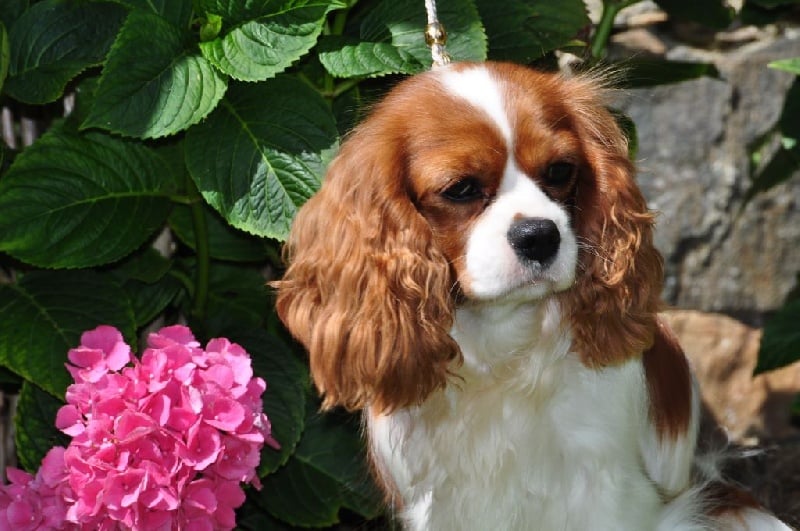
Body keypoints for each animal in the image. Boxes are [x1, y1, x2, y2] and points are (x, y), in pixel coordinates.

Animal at [274, 61, 790, 530]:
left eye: (560, 171)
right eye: (460, 189)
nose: (540, 235)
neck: (502, 338)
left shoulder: (607, 487)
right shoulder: (438, 499)